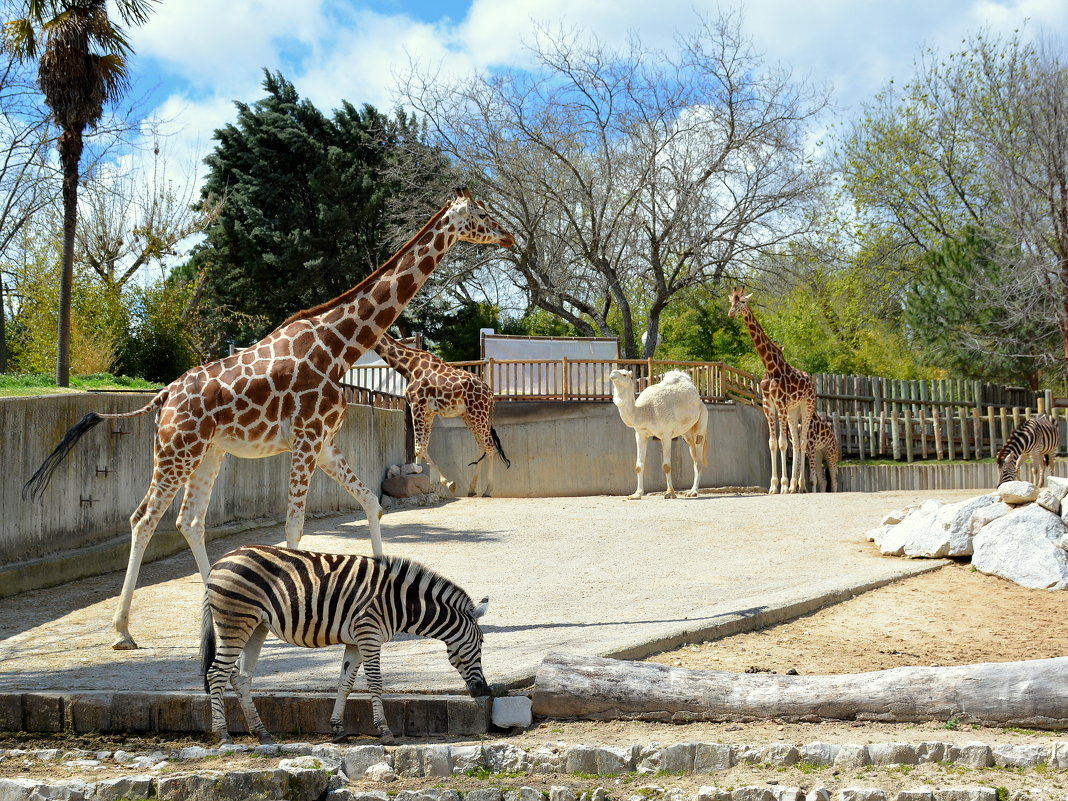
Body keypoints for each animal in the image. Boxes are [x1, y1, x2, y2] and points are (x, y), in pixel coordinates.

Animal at [200, 546, 491, 747]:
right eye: (481, 643)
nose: (483, 690)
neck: (399, 603)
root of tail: (219, 562)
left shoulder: (355, 642)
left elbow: (345, 683)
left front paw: (338, 730)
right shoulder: (369, 636)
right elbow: (375, 683)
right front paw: (384, 731)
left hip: (256, 627)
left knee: (241, 678)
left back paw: (262, 732)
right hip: (235, 623)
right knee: (216, 674)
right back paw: (223, 734)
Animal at [373, 331, 510, 495]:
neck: (409, 366)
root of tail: (489, 392)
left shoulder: (417, 406)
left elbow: (418, 447)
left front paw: (417, 475)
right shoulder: (428, 413)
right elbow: (424, 446)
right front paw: (443, 481)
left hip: (478, 413)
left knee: (489, 444)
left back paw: (488, 490)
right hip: (469, 416)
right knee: (481, 445)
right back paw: (471, 489)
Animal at [610, 371, 709, 501]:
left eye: (624, 374)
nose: (612, 374)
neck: (645, 411)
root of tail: (700, 401)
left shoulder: (666, 434)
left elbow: (666, 465)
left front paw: (670, 493)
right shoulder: (640, 434)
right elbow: (638, 465)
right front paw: (636, 494)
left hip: (702, 423)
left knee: (699, 457)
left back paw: (693, 492)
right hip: (687, 434)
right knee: (695, 457)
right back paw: (691, 491)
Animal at [726, 290, 815, 495]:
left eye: (743, 301)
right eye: (731, 301)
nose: (731, 313)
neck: (770, 366)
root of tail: (811, 381)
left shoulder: (780, 404)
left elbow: (782, 443)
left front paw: (783, 485)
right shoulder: (769, 405)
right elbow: (773, 443)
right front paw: (774, 486)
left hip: (807, 407)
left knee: (803, 442)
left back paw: (801, 485)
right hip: (793, 411)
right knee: (796, 443)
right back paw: (794, 486)